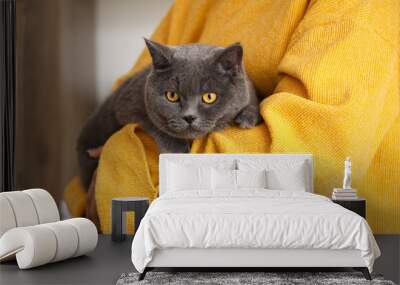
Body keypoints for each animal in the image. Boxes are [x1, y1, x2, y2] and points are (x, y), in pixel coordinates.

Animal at [76, 38, 260, 189]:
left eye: (209, 97)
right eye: (172, 96)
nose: (189, 117)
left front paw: (247, 117)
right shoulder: (126, 106)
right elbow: (154, 124)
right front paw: (177, 150)